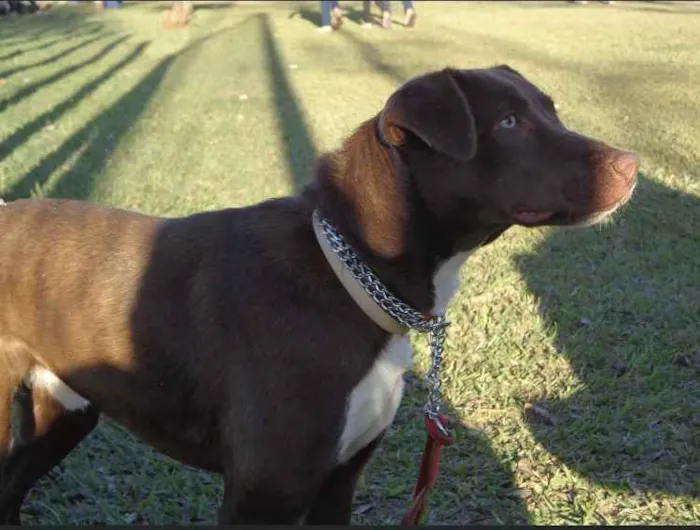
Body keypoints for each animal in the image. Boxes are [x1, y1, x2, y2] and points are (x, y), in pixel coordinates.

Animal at [0, 64, 640, 520]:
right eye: (508, 123)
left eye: (550, 111)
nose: (633, 165)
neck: (349, 273)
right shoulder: (263, 496)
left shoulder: (339, 483)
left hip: (65, 411)